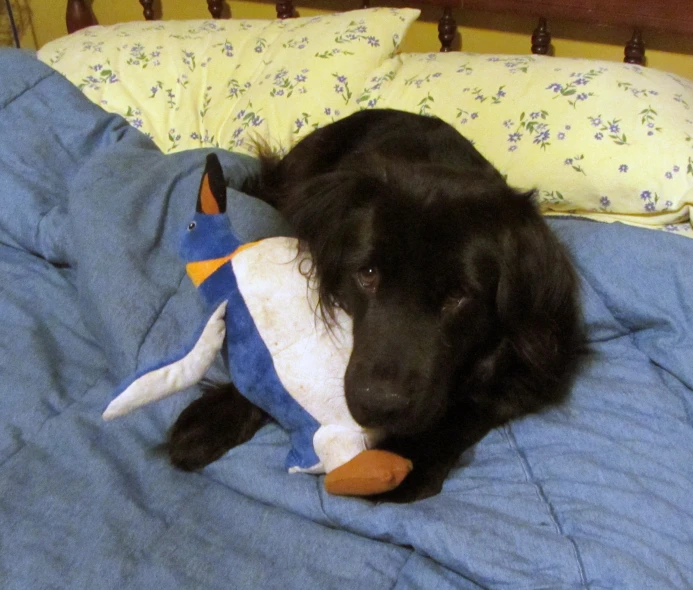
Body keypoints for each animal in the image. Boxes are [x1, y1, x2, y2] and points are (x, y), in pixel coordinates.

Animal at [169, 108, 584, 502]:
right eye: (367, 274)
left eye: (458, 295)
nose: (380, 404)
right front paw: (214, 417)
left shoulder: (541, 355)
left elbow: (477, 403)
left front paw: (405, 456)